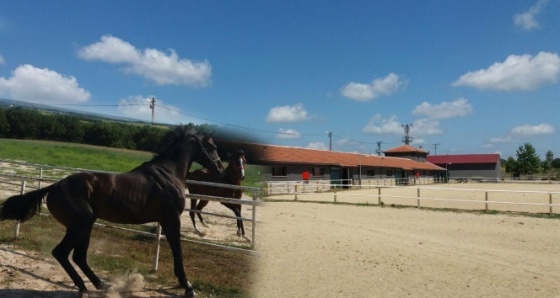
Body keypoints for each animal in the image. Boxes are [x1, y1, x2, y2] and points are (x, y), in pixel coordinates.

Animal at [0, 126, 223, 298]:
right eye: (212, 147)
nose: (220, 168)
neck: (168, 173)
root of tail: (54, 186)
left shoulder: (166, 220)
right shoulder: (172, 219)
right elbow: (178, 251)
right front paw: (187, 287)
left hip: (86, 225)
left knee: (79, 256)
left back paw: (102, 285)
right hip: (80, 225)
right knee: (61, 253)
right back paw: (84, 287)